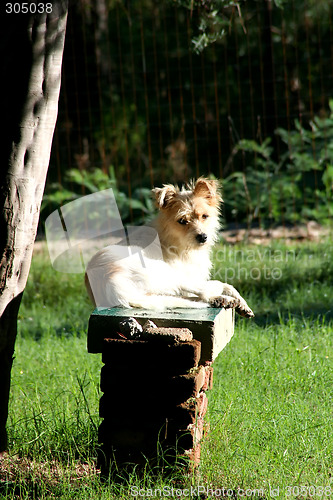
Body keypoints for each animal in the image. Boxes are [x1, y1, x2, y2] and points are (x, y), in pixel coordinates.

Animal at [84, 177, 253, 316]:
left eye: (205, 216)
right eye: (182, 221)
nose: (203, 237)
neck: (170, 239)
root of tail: (108, 282)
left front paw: (243, 304)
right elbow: (219, 284)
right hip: (169, 274)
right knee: (207, 289)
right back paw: (221, 298)